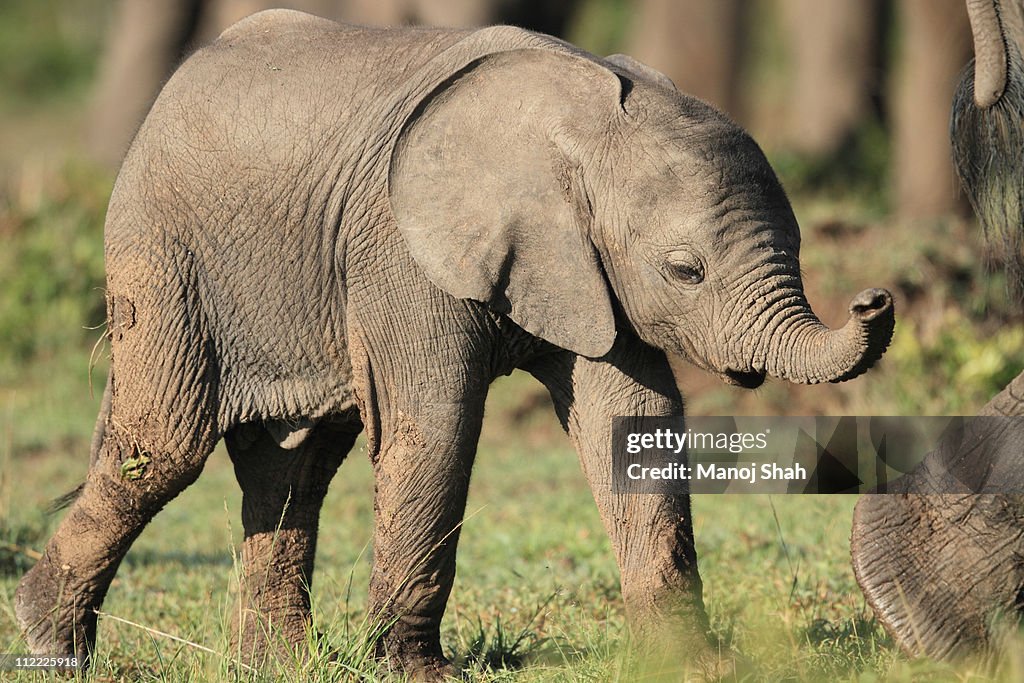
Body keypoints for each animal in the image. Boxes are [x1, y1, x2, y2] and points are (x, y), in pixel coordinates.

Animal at [16, 9, 897, 679]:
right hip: (162, 253)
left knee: (293, 464)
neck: (584, 123)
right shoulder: (402, 251)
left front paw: (692, 663)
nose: (876, 296)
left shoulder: (588, 267)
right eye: (685, 270)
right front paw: (417, 673)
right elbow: (436, 425)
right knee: (162, 447)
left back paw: (278, 665)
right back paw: (48, 643)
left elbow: (633, 416)